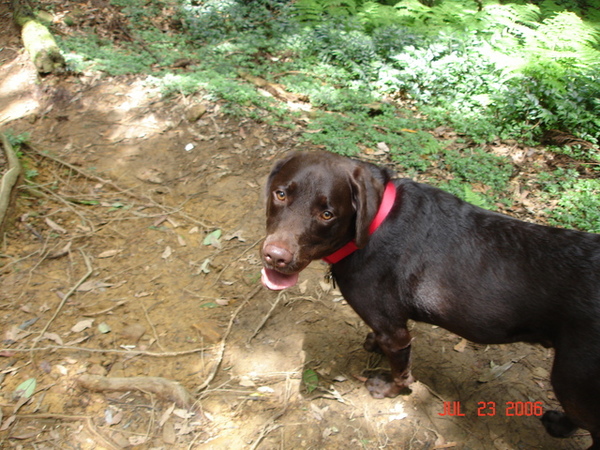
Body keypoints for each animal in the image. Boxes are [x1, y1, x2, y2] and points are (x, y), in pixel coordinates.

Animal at [260, 150, 600, 446]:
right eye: (281, 194)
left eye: (327, 214)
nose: (275, 257)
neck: (375, 224)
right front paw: (373, 344)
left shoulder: (396, 332)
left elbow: (402, 372)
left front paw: (388, 389)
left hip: (572, 380)